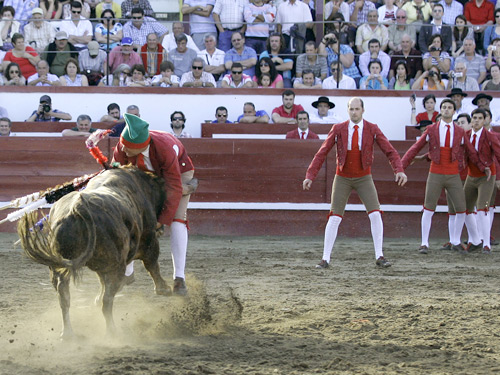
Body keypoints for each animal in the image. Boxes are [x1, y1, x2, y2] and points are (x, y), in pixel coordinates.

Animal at [18, 166, 170, 340]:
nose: (161, 228)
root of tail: (78, 207)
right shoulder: (149, 240)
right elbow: (152, 264)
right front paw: (164, 288)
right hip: (115, 265)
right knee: (107, 300)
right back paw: (112, 331)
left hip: (59, 267)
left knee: (64, 297)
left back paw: (68, 333)